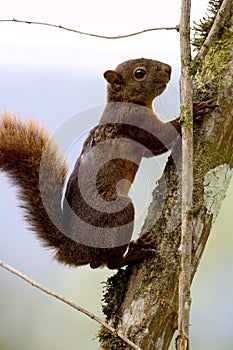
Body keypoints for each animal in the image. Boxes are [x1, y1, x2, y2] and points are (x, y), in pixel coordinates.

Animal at [0, 58, 216, 270]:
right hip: (117, 212)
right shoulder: (135, 118)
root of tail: (72, 248)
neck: (125, 100)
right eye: (139, 73)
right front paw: (193, 111)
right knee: (109, 263)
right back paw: (135, 252)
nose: (168, 68)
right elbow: (161, 137)